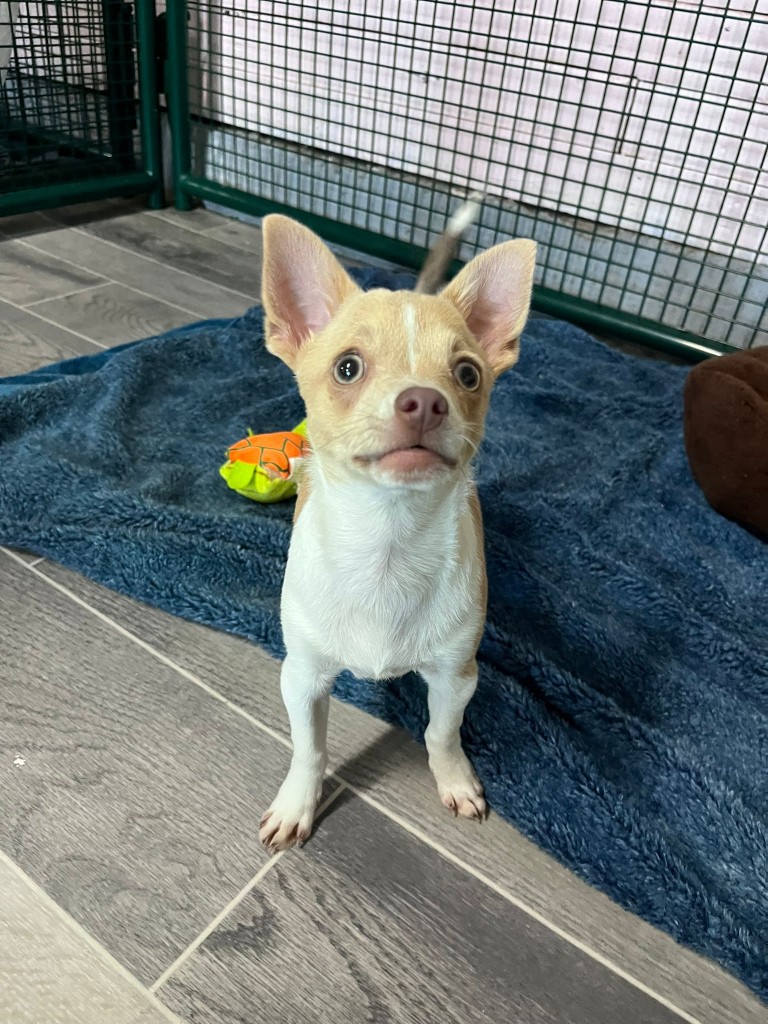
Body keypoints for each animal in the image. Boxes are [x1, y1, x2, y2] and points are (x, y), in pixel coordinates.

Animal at [258, 202, 536, 851]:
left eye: (467, 375)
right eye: (347, 367)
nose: (425, 401)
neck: (387, 541)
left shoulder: (457, 677)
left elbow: (441, 732)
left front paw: (454, 779)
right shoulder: (302, 677)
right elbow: (309, 747)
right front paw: (297, 802)